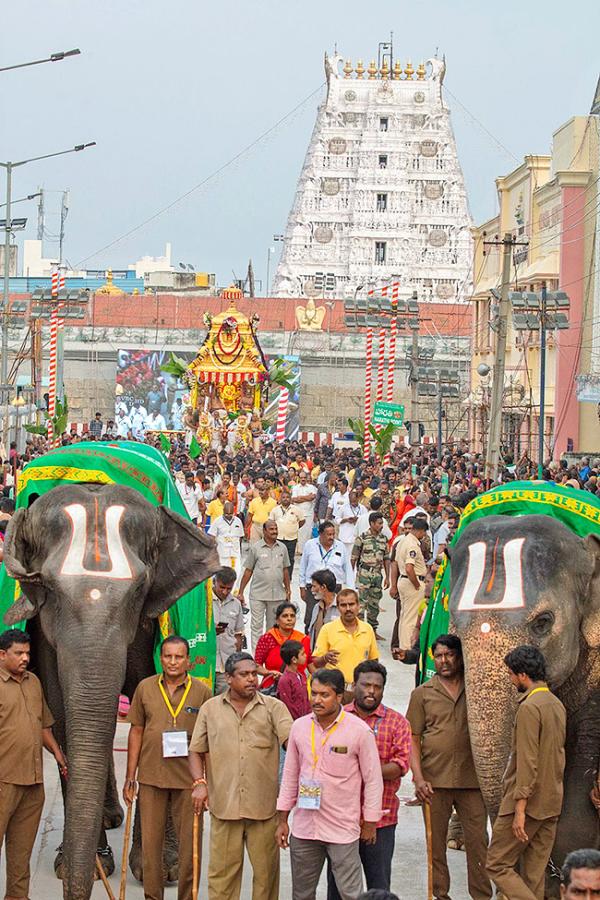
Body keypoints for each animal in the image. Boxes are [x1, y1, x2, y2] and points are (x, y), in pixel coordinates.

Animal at [1, 482, 221, 900]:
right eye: (46, 587)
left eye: (140, 590)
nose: (89, 883)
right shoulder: (43, 631)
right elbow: (60, 713)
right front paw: (82, 866)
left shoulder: (150, 623)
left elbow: (149, 712)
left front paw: (161, 868)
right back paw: (108, 819)